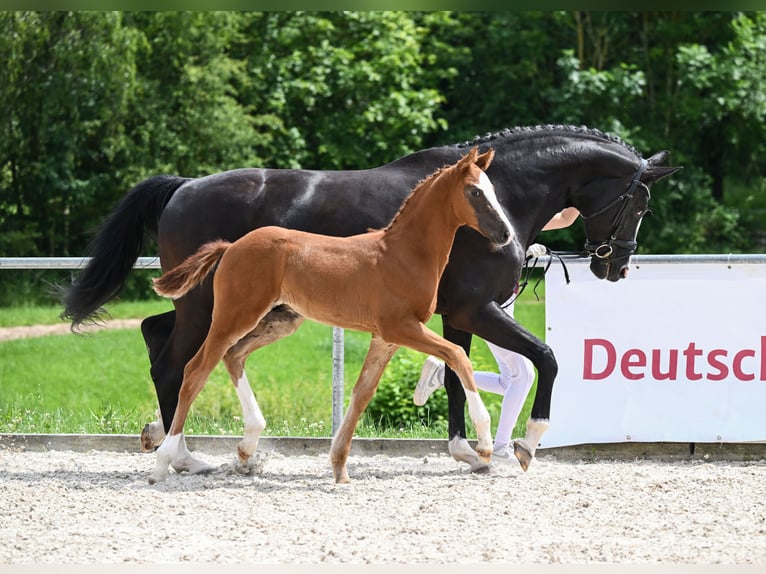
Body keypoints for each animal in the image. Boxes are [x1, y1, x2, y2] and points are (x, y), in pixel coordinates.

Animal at [61, 125, 684, 472]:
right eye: (639, 202)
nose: (616, 266)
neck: (506, 195)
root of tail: (182, 187)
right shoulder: (475, 309)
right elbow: (546, 360)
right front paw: (526, 443)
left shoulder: (453, 315)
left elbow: (455, 376)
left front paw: (466, 449)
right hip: (211, 307)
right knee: (177, 362)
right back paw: (184, 453)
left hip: (233, 307)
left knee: (157, 334)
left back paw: (187, 444)